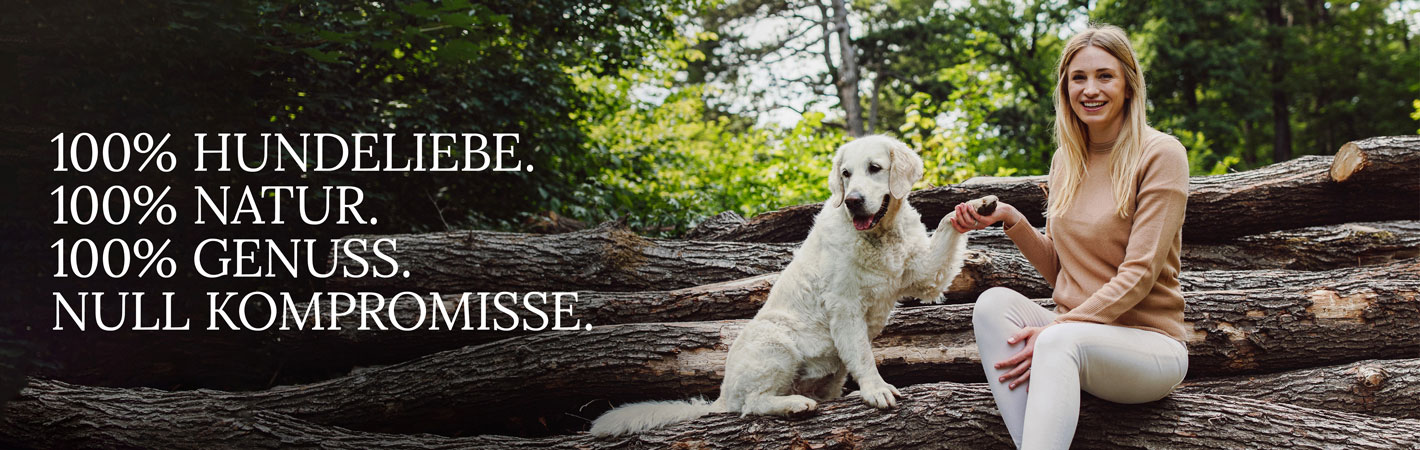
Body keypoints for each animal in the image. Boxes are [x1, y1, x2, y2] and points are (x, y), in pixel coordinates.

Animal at [587, 134, 988, 434]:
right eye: (846, 174)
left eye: (875, 169)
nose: (853, 201)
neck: (880, 236)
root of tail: (722, 395)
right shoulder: (844, 305)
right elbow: (863, 355)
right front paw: (876, 390)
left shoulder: (924, 275)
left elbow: (947, 231)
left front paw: (975, 208)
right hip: (776, 343)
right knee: (751, 405)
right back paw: (795, 404)